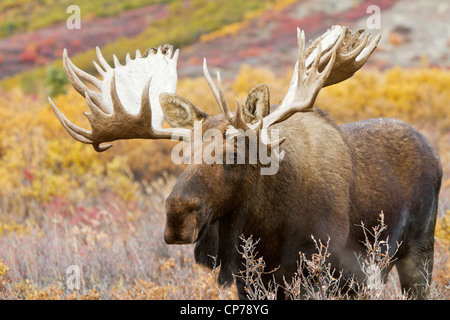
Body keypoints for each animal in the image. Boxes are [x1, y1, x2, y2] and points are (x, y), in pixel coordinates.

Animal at [50, 26, 442, 298]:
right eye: (182, 155)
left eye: (236, 153)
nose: (177, 216)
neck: (264, 226)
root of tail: (434, 153)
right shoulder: (250, 281)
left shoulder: (322, 273)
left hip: (418, 252)